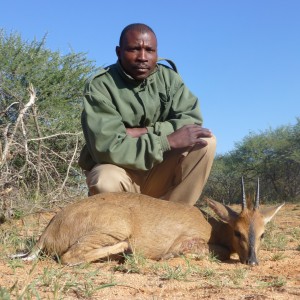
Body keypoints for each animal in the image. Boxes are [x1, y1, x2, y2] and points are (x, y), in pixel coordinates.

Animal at [12, 178, 284, 264]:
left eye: (262, 233)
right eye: (238, 232)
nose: (253, 261)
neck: (211, 225)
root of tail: (46, 232)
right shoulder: (188, 241)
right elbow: (219, 252)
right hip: (115, 229)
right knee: (70, 257)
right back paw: (126, 252)